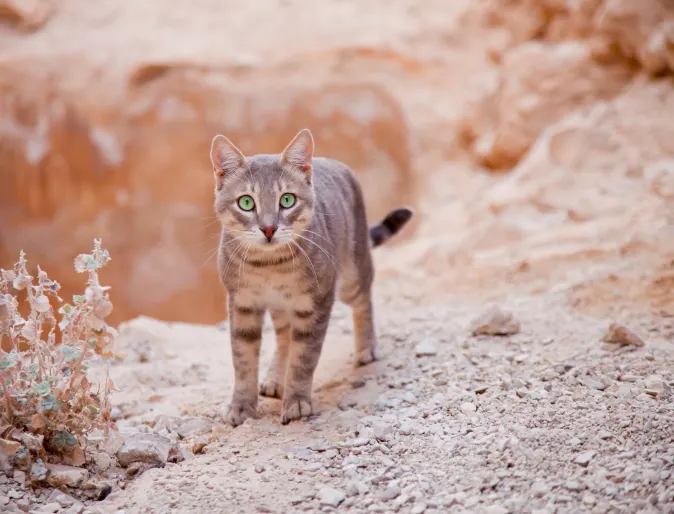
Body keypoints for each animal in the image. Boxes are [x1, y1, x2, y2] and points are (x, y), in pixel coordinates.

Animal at [210, 128, 412, 424]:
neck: (268, 266)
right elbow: (243, 361)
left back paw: (367, 348)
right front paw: (241, 405)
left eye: (287, 200)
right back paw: (274, 378)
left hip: (352, 273)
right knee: (284, 336)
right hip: (283, 306)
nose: (268, 228)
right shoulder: (242, 303)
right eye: (246, 202)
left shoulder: (315, 303)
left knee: (364, 301)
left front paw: (296, 402)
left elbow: (303, 358)